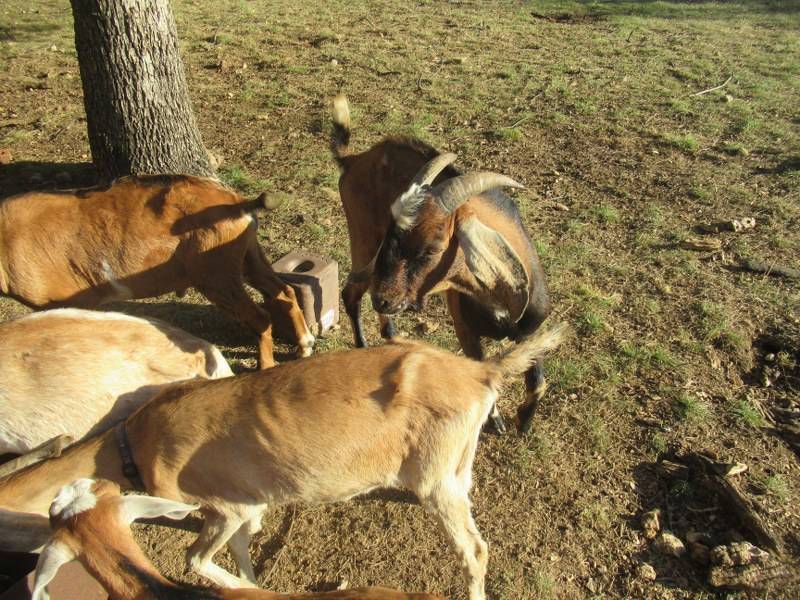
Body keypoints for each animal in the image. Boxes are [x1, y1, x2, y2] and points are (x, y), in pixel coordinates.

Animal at [0, 175, 314, 368]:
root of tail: (237, 202)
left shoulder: (72, 301)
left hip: (216, 276)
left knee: (260, 317)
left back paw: (266, 365)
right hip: (247, 257)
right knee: (283, 291)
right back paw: (305, 344)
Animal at [331, 95, 551, 434]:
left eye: (433, 246)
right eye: (393, 234)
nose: (383, 298)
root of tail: (354, 159)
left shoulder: (531, 331)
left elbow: (538, 382)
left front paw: (525, 421)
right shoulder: (466, 332)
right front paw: (496, 419)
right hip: (363, 242)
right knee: (350, 293)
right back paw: (363, 344)